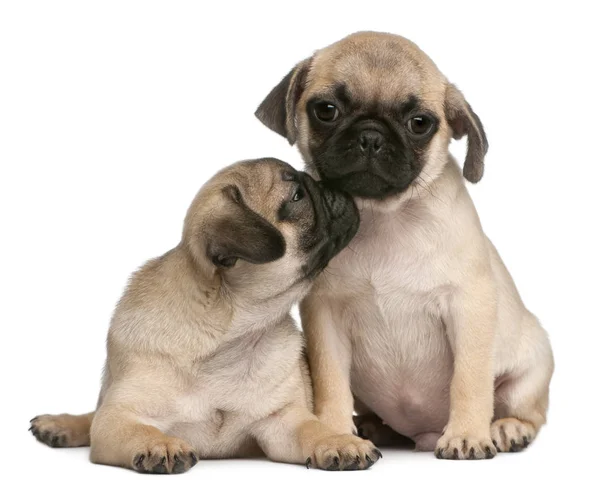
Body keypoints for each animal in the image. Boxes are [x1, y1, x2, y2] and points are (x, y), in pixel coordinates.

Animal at [29, 158, 380, 470]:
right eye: (297, 196)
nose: (329, 184)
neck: (230, 337)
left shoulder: (282, 419)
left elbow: (314, 429)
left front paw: (339, 441)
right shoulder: (120, 417)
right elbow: (135, 429)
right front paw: (160, 444)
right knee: (93, 416)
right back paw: (59, 424)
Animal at [255, 32, 556, 460]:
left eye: (419, 124)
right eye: (326, 110)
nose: (371, 136)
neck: (383, 218)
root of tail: (420, 435)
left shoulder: (469, 308)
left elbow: (469, 380)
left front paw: (467, 434)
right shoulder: (324, 320)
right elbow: (330, 385)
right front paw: (335, 434)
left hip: (530, 368)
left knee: (527, 411)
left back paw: (506, 428)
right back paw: (371, 427)